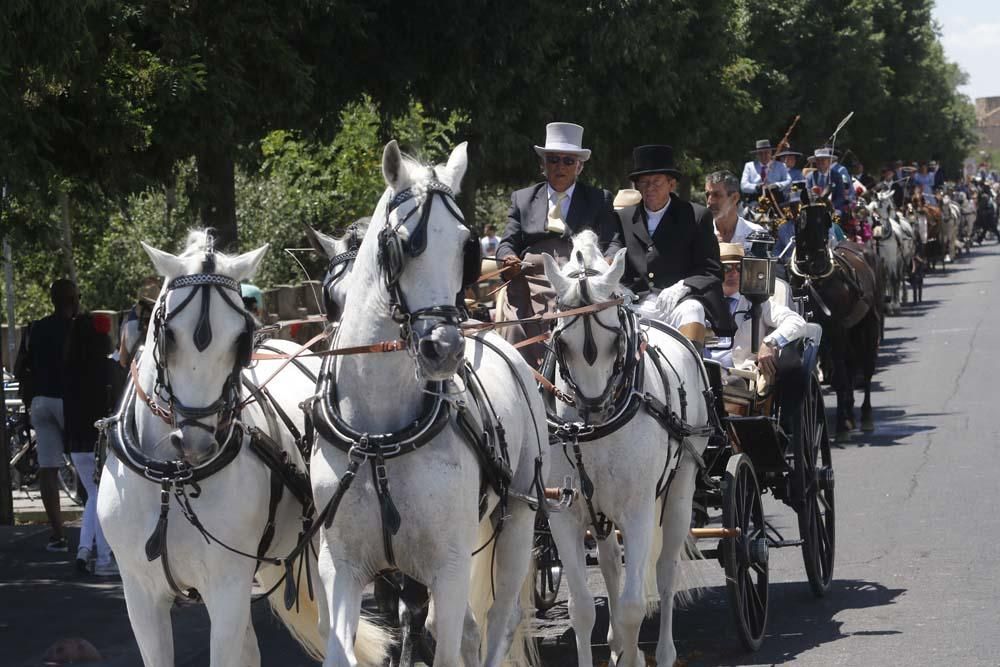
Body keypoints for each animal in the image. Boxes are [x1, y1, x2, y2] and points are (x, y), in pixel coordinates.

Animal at [96, 231, 386, 667]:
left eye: (241, 337)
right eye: (167, 334)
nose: (197, 442)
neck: (173, 479)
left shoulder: (227, 586)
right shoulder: (140, 592)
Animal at [310, 142, 548, 667]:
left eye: (466, 246)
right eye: (400, 245)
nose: (445, 348)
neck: (379, 436)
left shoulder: (450, 565)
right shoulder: (342, 565)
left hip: (518, 519)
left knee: (497, 621)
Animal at [540, 234, 712, 667]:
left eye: (616, 340)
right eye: (560, 342)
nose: (594, 407)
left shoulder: (638, 510)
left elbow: (635, 606)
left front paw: (634, 653)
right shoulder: (564, 513)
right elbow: (582, 608)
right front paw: (613, 644)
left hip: (679, 490)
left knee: (666, 572)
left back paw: (663, 652)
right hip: (600, 510)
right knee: (609, 563)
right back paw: (617, 641)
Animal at [788, 206, 884, 440]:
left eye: (826, 221)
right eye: (802, 222)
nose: (819, 262)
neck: (813, 281)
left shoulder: (836, 330)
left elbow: (840, 378)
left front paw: (841, 425)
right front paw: (844, 419)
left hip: (867, 326)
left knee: (865, 367)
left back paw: (865, 415)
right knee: (850, 366)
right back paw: (850, 411)